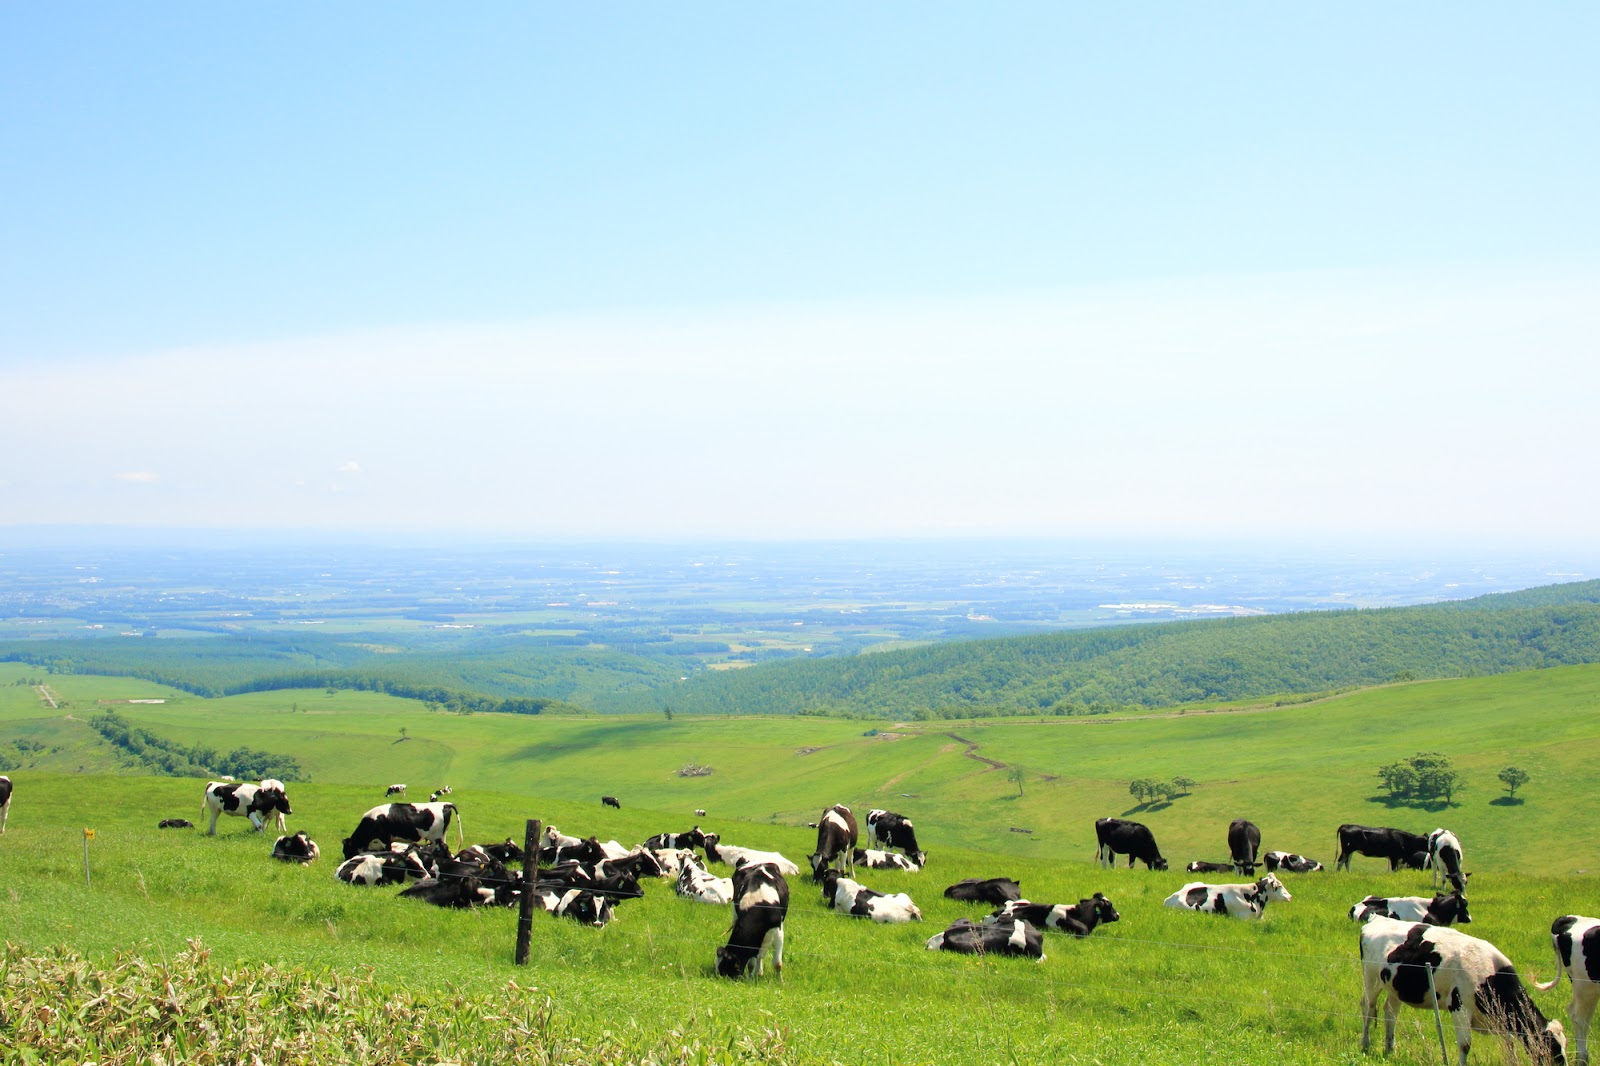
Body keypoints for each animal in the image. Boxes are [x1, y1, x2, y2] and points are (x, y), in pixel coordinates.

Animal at [1356, 915, 1568, 1062]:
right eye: (1553, 1049)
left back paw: (1390, 1048)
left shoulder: (1501, 1019)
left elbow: (1510, 1046)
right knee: (1368, 1008)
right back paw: (1365, 1045)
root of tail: (1376, 919)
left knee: (1390, 1012)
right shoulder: (1460, 1007)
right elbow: (1465, 1045)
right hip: (1371, 980)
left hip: (1395, 987)